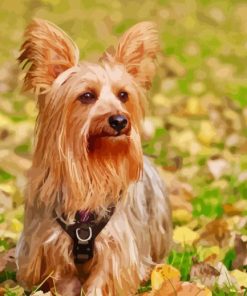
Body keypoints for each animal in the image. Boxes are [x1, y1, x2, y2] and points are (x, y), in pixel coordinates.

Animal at [15, 19, 172, 296]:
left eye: (123, 95)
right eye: (87, 96)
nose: (120, 120)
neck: (93, 166)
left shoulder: (115, 251)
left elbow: (102, 281)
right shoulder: (53, 250)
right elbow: (64, 281)